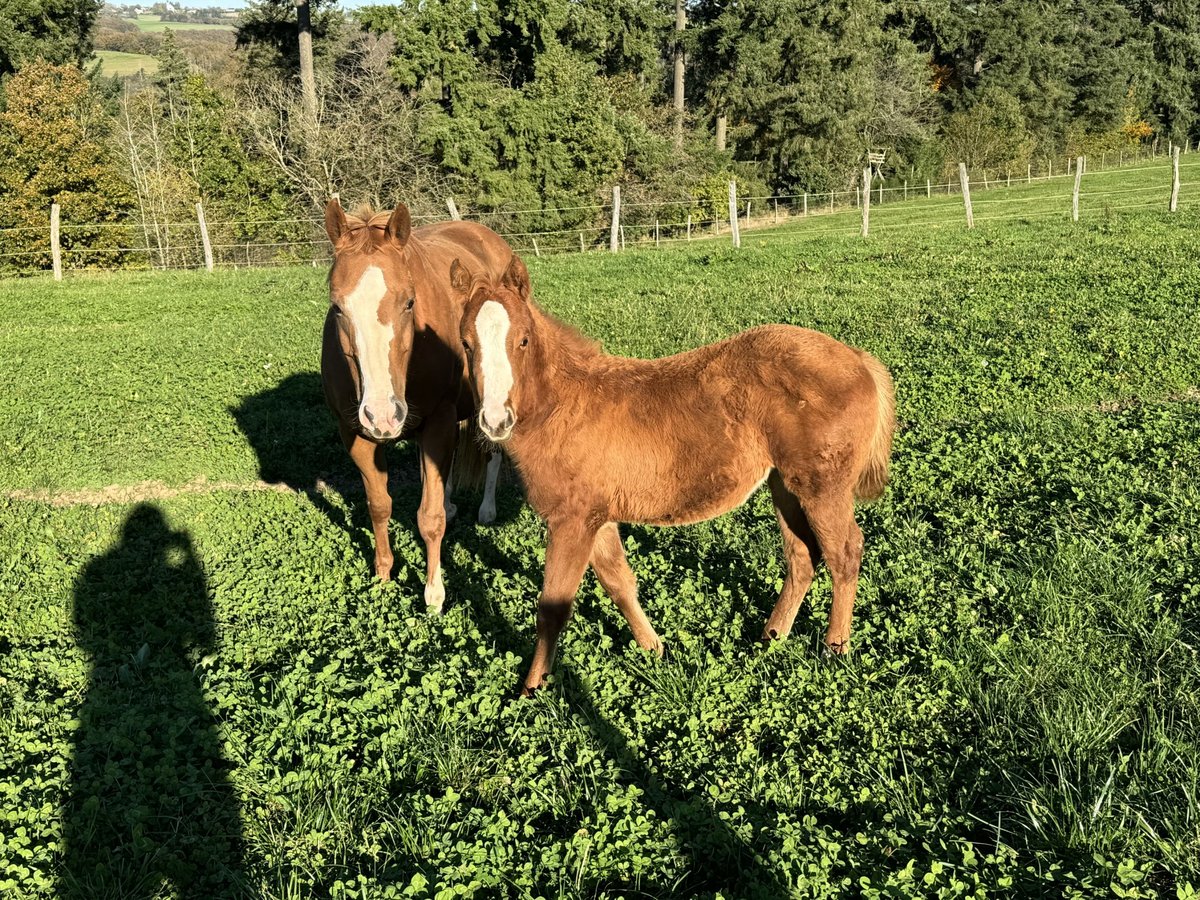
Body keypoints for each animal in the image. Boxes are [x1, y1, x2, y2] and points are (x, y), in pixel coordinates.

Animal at [321, 201, 508, 614]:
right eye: (338, 307)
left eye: (409, 301)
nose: (383, 414)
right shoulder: (355, 433)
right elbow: (379, 504)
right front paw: (383, 573)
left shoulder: (438, 422)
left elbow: (429, 518)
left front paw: (434, 595)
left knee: (492, 451)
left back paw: (487, 510)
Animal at [456, 256, 892, 696]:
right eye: (466, 344)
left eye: (524, 340)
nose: (495, 421)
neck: (566, 407)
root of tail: (858, 358)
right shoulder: (596, 517)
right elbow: (619, 583)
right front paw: (655, 650)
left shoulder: (571, 521)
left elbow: (552, 608)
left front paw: (532, 689)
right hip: (785, 485)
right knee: (802, 556)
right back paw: (770, 638)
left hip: (822, 486)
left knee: (844, 553)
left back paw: (835, 650)